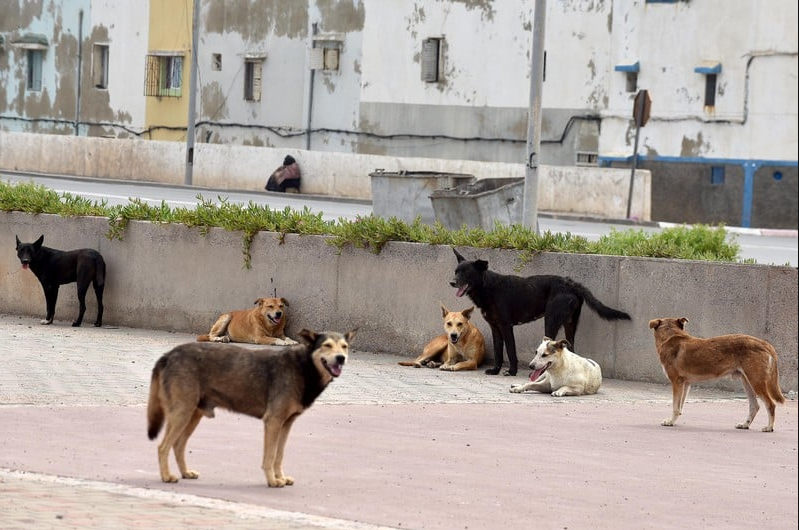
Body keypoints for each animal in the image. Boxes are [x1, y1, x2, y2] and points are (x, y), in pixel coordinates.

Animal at [450, 248, 632, 376]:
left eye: (466, 272)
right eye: (456, 271)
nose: (451, 282)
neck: (489, 287)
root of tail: (571, 284)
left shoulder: (506, 326)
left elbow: (510, 350)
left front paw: (512, 372)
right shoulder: (495, 328)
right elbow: (498, 351)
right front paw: (495, 370)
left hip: (551, 320)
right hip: (570, 324)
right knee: (571, 349)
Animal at [648, 316, 788, 432]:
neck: (670, 335)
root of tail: (764, 343)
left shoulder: (676, 382)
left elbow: (675, 406)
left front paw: (670, 421)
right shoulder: (686, 384)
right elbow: (680, 406)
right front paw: (674, 420)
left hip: (756, 382)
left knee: (770, 404)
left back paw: (769, 427)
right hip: (747, 382)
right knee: (755, 406)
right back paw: (745, 425)